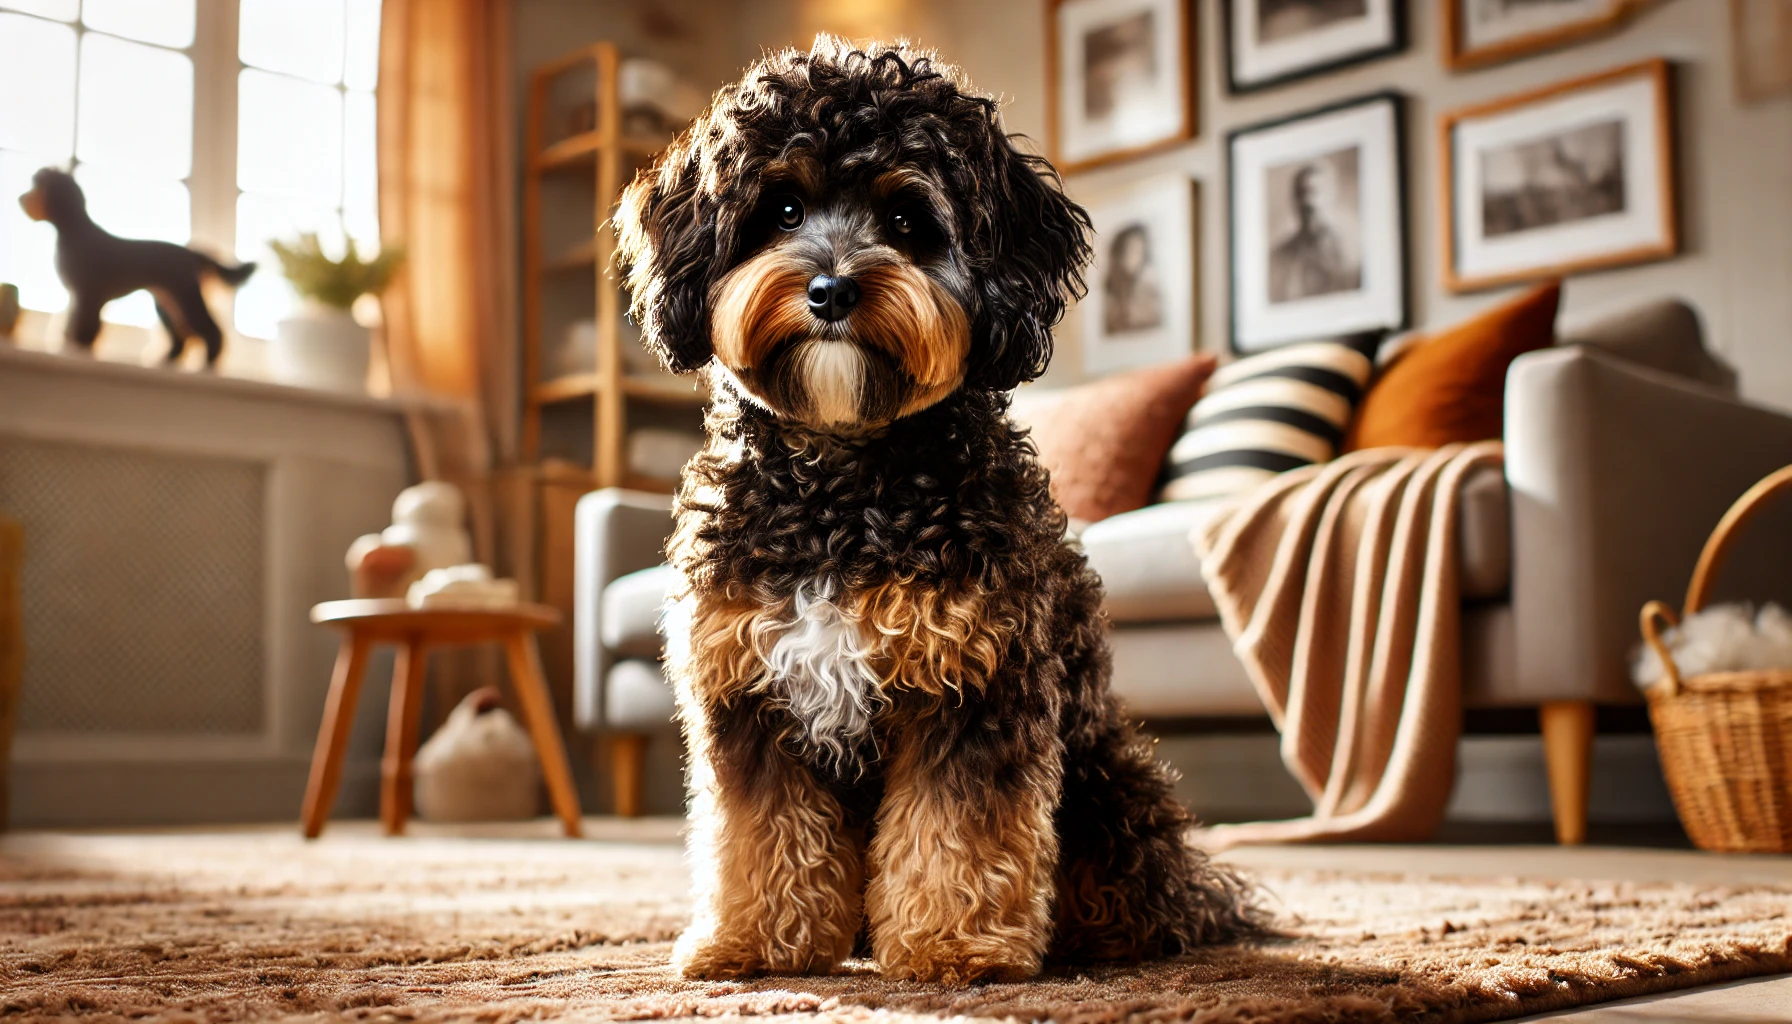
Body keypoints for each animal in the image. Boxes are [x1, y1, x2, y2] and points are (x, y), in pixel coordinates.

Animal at [18, 170, 252, 371]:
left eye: (38, 186)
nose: (20, 198)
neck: (74, 233)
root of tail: (192, 253)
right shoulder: (78, 297)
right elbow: (71, 322)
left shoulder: (89, 295)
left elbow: (85, 325)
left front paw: (81, 347)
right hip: (166, 302)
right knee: (180, 337)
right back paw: (166, 361)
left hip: (185, 297)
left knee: (211, 331)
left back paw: (208, 364)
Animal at [616, 38, 1261, 982]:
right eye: (782, 208)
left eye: (910, 222)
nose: (832, 290)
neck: (844, 485)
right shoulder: (747, 690)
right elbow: (760, 832)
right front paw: (756, 944)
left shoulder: (976, 681)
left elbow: (958, 829)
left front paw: (955, 948)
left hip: (1107, 784)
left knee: (1132, 891)